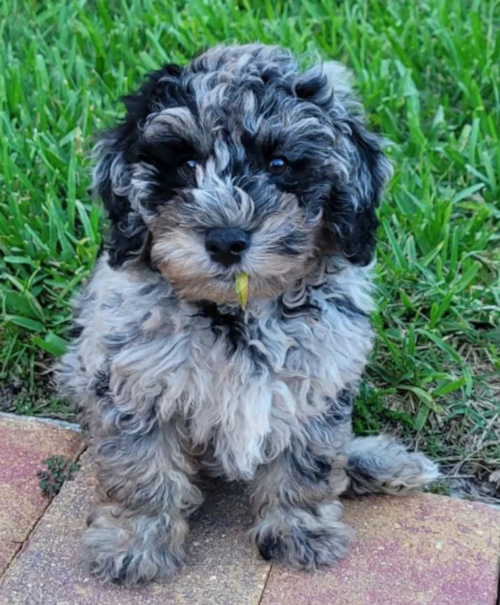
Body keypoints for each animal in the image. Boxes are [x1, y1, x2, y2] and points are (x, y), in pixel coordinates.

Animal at [58, 44, 438, 584]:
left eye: (280, 163)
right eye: (185, 164)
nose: (225, 240)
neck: (237, 312)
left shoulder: (316, 380)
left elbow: (308, 465)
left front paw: (299, 529)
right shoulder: (132, 381)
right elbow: (143, 470)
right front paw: (137, 542)